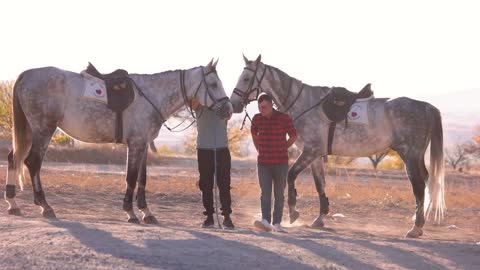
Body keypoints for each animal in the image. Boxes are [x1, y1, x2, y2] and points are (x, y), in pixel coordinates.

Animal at [3, 58, 232, 223]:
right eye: (213, 84)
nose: (229, 110)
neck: (151, 95)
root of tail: (26, 75)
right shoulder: (136, 143)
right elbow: (131, 178)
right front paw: (130, 213)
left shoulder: (143, 145)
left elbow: (142, 179)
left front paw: (146, 212)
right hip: (43, 130)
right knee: (32, 163)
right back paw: (45, 206)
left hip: (30, 130)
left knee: (14, 158)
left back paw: (13, 203)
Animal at [231, 55, 444, 238]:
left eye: (247, 78)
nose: (234, 104)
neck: (305, 103)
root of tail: (427, 107)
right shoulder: (316, 155)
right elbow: (320, 184)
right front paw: (320, 218)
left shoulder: (310, 151)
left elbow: (291, 176)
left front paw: (293, 213)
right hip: (416, 155)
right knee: (426, 180)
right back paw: (419, 221)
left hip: (409, 155)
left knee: (418, 185)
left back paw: (415, 228)